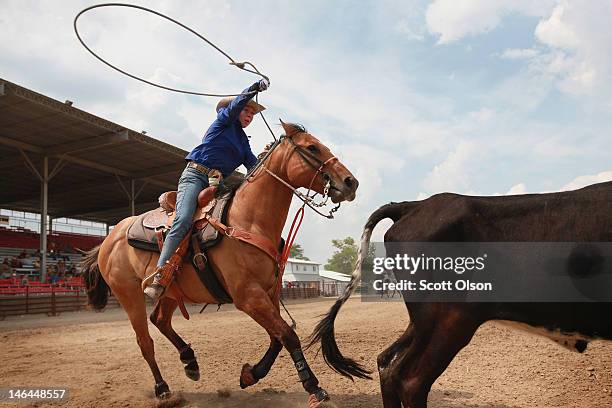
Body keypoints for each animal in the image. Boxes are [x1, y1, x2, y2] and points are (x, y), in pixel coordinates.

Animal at [81, 122, 358, 406]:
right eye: (312, 147)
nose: (351, 182)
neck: (247, 219)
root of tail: (109, 239)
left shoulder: (269, 293)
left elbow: (278, 336)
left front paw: (250, 374)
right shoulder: (248, 296)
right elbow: (287, 335)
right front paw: (313, 386)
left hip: (171, 292)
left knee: (159, 320)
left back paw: (190, 361)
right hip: (129, 294)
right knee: (144, 341)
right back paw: (162, 388)